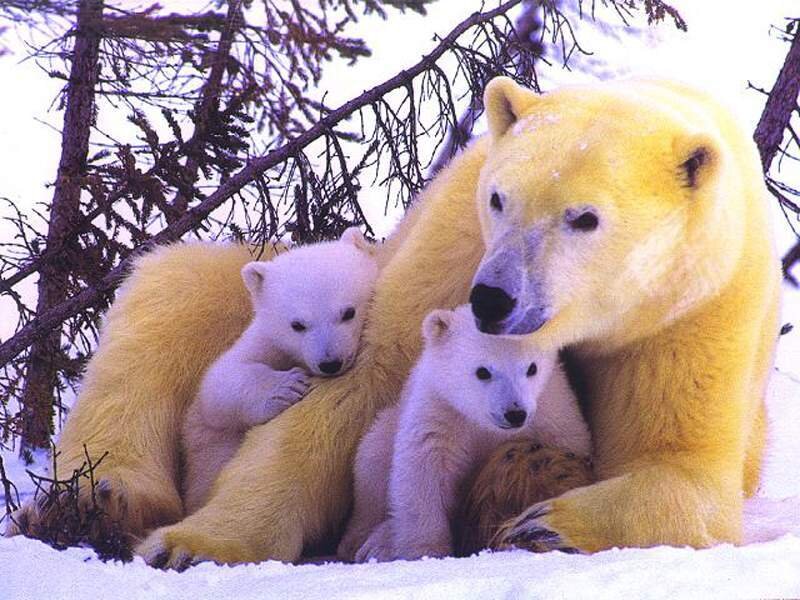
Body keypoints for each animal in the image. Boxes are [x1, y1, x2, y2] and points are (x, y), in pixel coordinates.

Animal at [181, 228, 378, 515]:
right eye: (297, 325)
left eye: (348, 312)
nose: (330, 362)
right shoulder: (268, 339)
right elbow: (217, 386)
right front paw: (287, 388)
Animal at [337, 305, 591, 563]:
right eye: (483, 371)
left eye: (532, 367)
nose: (515, 413)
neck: (483, 424)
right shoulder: (441, 412)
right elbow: (424, 475)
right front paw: (426, 551)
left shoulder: (551, 409)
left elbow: (567, 453)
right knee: (372, 466)